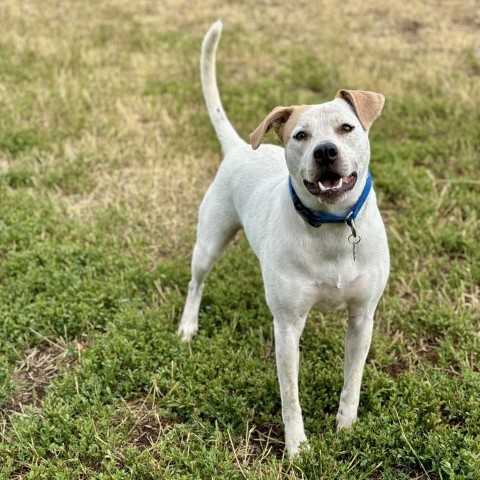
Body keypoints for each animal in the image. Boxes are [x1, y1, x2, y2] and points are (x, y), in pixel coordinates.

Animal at [178, 21, 388, 458]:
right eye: (300, 135)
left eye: (347, 128)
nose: (325, 152)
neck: (332, 225)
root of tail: (240, 148)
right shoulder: (288, 327)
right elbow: (290, 395)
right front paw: (297, 447)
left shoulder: (363, 318)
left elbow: (353, 381)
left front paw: (346, 427)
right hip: (209, 242)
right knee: (195, 282)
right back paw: (188, 325)